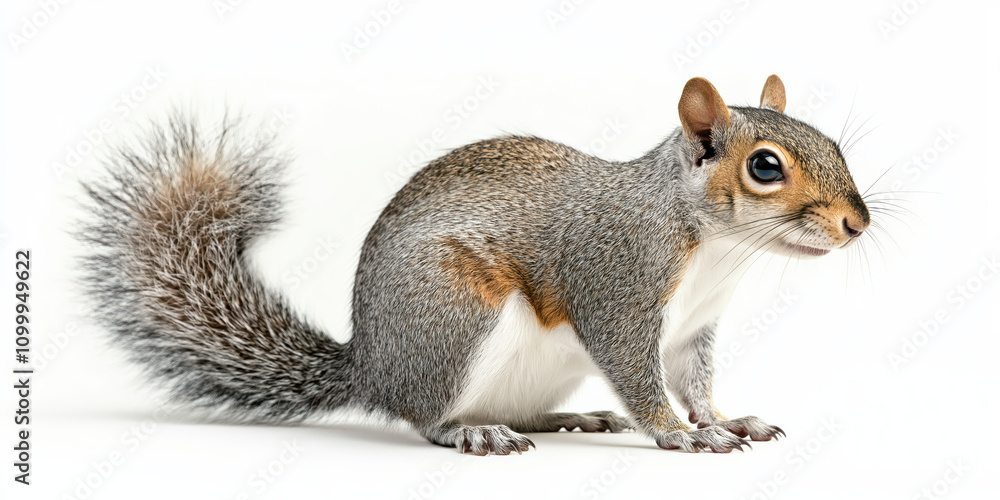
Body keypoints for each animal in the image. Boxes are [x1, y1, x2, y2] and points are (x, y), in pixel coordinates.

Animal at [77, 74, 870, 455]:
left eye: (833, 142)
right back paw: (470, 433)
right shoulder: (617, 288)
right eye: (765, 167)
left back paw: (569, 418)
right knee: (425, 414)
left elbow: (697, 383)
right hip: (458, 315)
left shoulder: (692, 330)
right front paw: (679, 433)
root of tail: (373, 362)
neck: (717, 252)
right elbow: (640, 376)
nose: (857, 223)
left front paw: (729, 420)